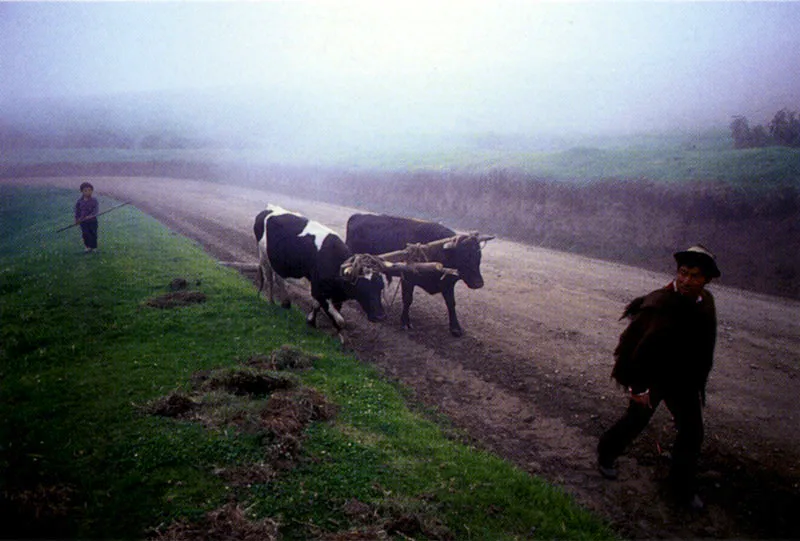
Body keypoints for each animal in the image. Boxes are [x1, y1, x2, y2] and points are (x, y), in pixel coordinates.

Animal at [253, 204, 384, 342]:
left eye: (380, 287)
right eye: (362, 287)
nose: (380, 316)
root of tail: (270, 208)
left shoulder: (332, 292)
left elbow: (318, 306)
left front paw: (312, 322)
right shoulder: (318, 289)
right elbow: (340, 319)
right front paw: (340, 336)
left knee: (279, 279)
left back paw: (285, 303)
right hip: (264, 256)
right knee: (269, 278)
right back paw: (271, 301)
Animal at [346, 213, 490, 336]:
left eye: (479, 256)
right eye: (464, 257)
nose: (479, 283)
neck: (435, 250)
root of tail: (357, 216)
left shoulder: (448, 284)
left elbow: (451, 303)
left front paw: (455, 327)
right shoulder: (408, 279)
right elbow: (408, 299)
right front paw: (405, 322)